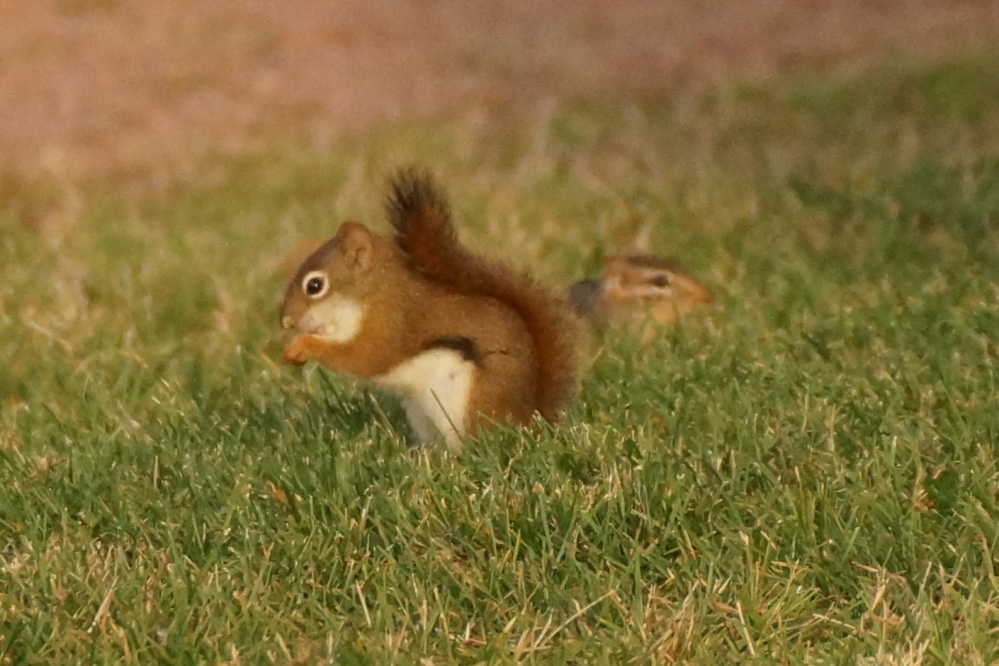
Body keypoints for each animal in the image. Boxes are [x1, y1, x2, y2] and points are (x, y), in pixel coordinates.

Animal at [279, 168, 581, 452]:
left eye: (315, 285)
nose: (285, 321)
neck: (374, 293)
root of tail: (530, 421)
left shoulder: (392, 324)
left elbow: (364, 356)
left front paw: (302, 346)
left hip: (472, 403)